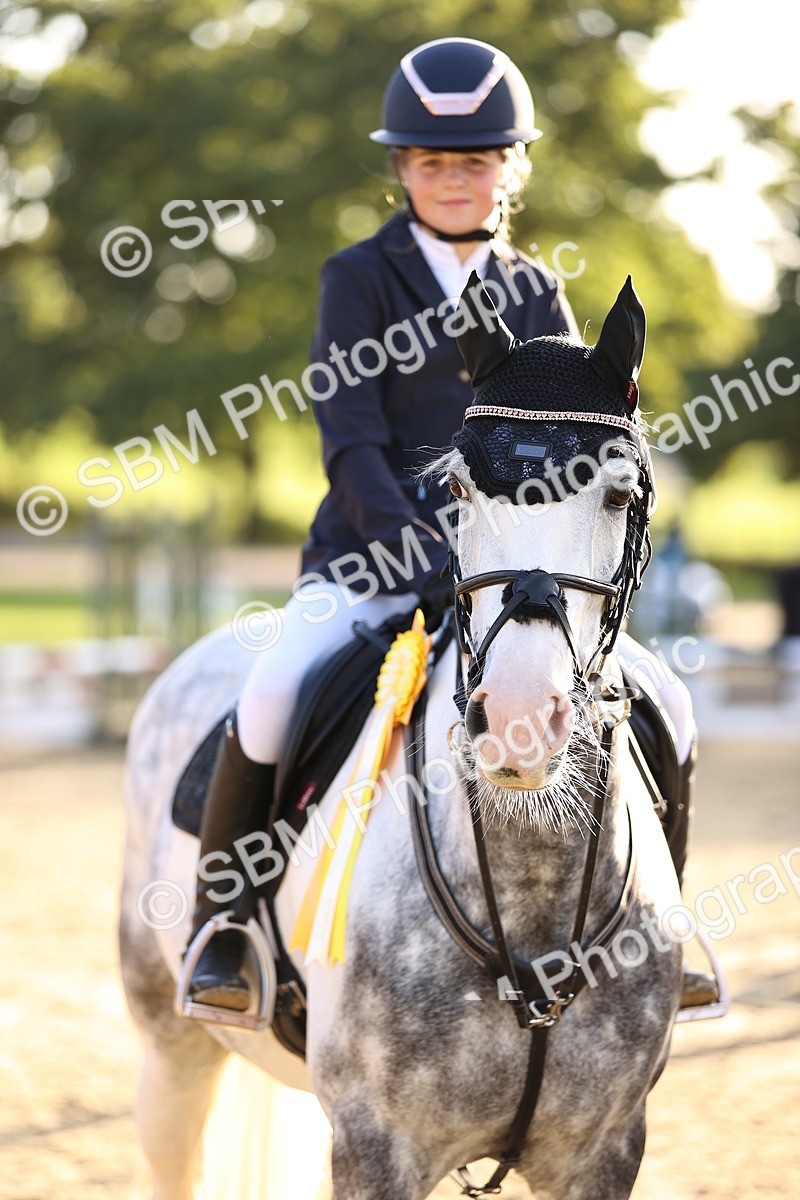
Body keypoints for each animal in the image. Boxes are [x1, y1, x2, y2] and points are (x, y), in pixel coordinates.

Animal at [119, 275, 684, 1200]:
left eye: (617, 494)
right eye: (455, 491)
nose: (518, 719)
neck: (530, 890)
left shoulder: (606, 1148)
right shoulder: (375, 1148)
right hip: (170, 1044)